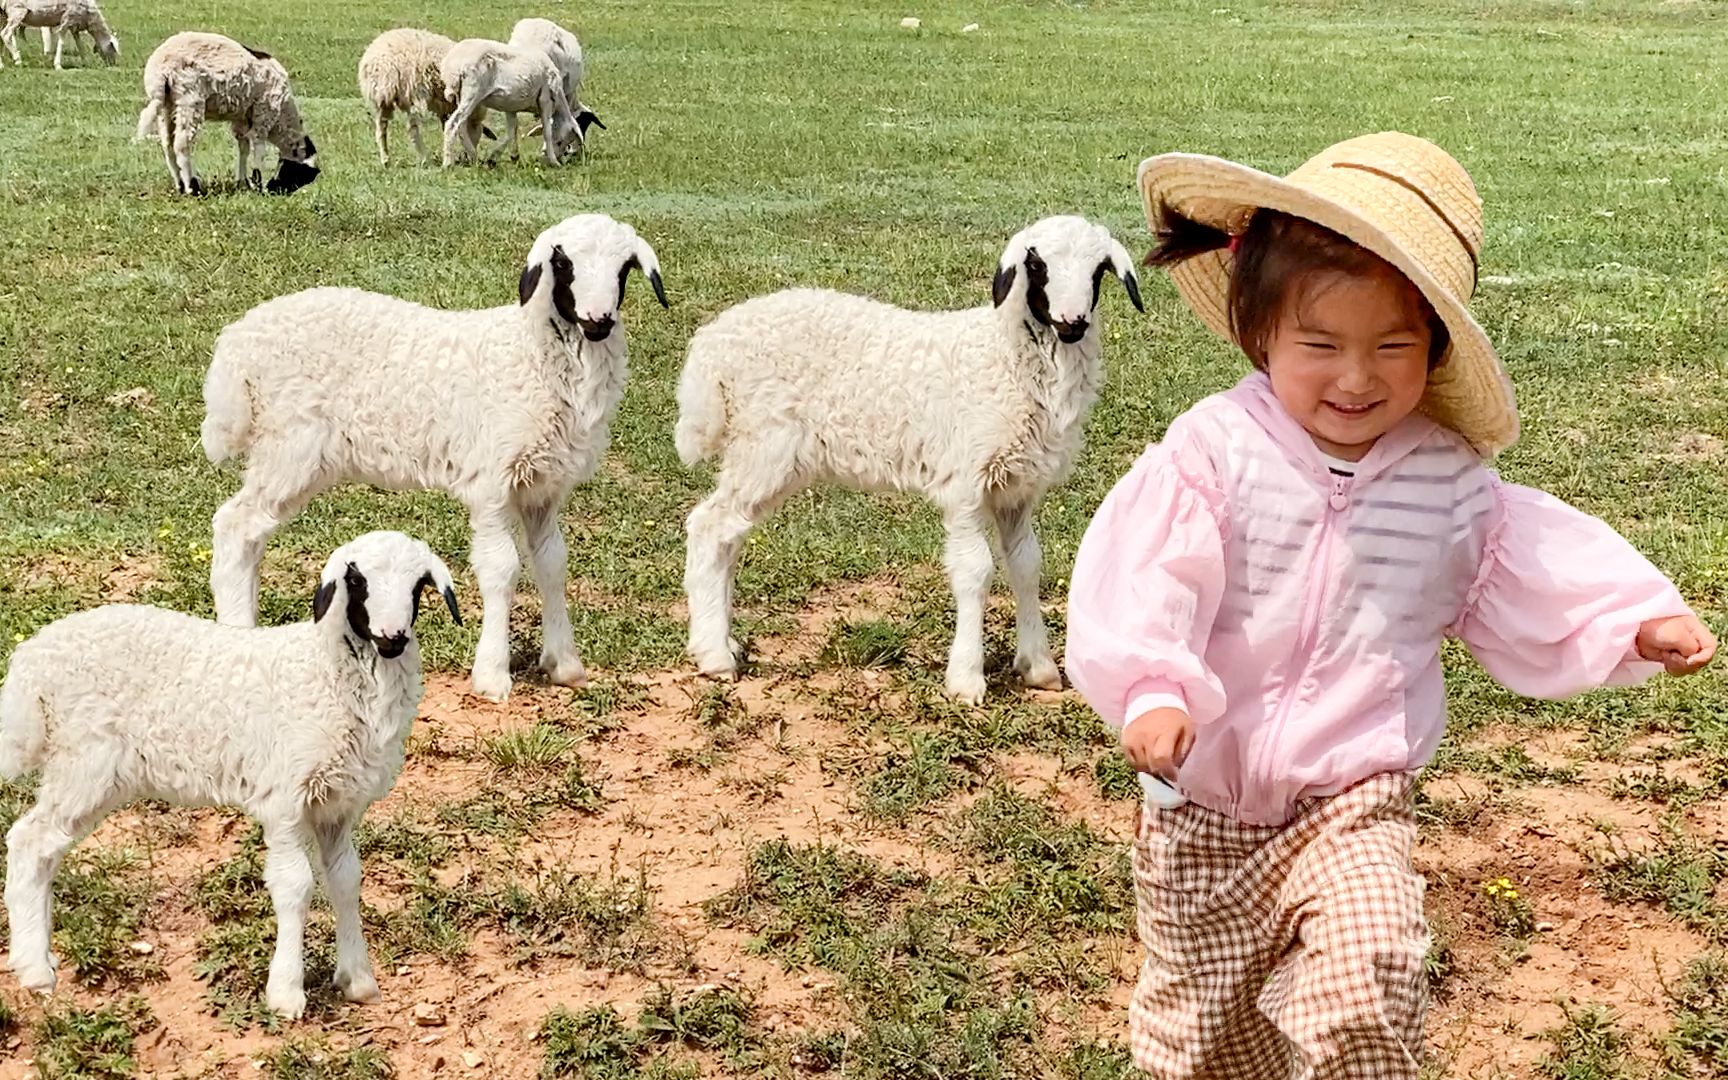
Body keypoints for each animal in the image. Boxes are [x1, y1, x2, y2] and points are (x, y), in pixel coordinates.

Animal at [1, 532, 459, 1016]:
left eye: (419, 584)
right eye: (356, 580)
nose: (392, 637)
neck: (323, 667)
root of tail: (31, 659)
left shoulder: (338, 803)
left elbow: (346, 879)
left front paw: (357, 979)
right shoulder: (286, 798)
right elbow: (295, 885)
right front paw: (286, 992)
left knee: (45, 850)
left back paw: (38, 954)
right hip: (84, 762)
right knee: (30, 841)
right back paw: (34, 968)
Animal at [134, 30, 321, 196]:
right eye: (300, 174)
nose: (275, 190)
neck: (282, 117)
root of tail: (162, 68)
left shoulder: (242, 119)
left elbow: (244, 147)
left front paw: (243, 182)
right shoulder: (264, 112)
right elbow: (258, 148)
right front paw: (258, 185)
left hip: (167, 106)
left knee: (167, 143)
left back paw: (179, 185)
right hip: (189, 99)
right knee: (182, 143)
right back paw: (192, 188)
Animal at [197, 215, 667, 705]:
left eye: (625, 267)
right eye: (562, 262)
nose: (598, 320)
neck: (527, 352)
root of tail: (237, 343)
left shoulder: (543, 485)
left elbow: (553, 562)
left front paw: (564, 663)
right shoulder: (492, 480)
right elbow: (501, 568)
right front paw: (492, 674)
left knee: (251, 533)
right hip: (291, 446)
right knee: (236, 525)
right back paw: (237, 628)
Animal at [673, 215, 1147, 705]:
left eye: (1099, 269)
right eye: (1037, 264)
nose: (1072, 322)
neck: (1003, 355)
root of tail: (712, 345)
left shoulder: (1016, 487)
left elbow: (1026, 564)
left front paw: (1038, 666)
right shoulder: (965, 482)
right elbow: (975, 570)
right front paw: (966, 678)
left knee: (729, 536)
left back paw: (723, 641)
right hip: (765, 445)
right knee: (710, 527)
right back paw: (714, 655)